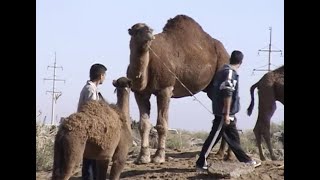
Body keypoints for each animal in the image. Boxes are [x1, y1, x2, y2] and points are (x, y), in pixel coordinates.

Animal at [127, 14, 230, 164]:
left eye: (148, 28)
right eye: (137, 29)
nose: (150, 32)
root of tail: (227, 54)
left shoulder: (165, 88)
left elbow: (162, 125)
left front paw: (159, 157)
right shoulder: (140, 93)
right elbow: (143, 125)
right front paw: (143, 157)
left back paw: (224, 154)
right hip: (211, 89)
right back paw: (222, 153)